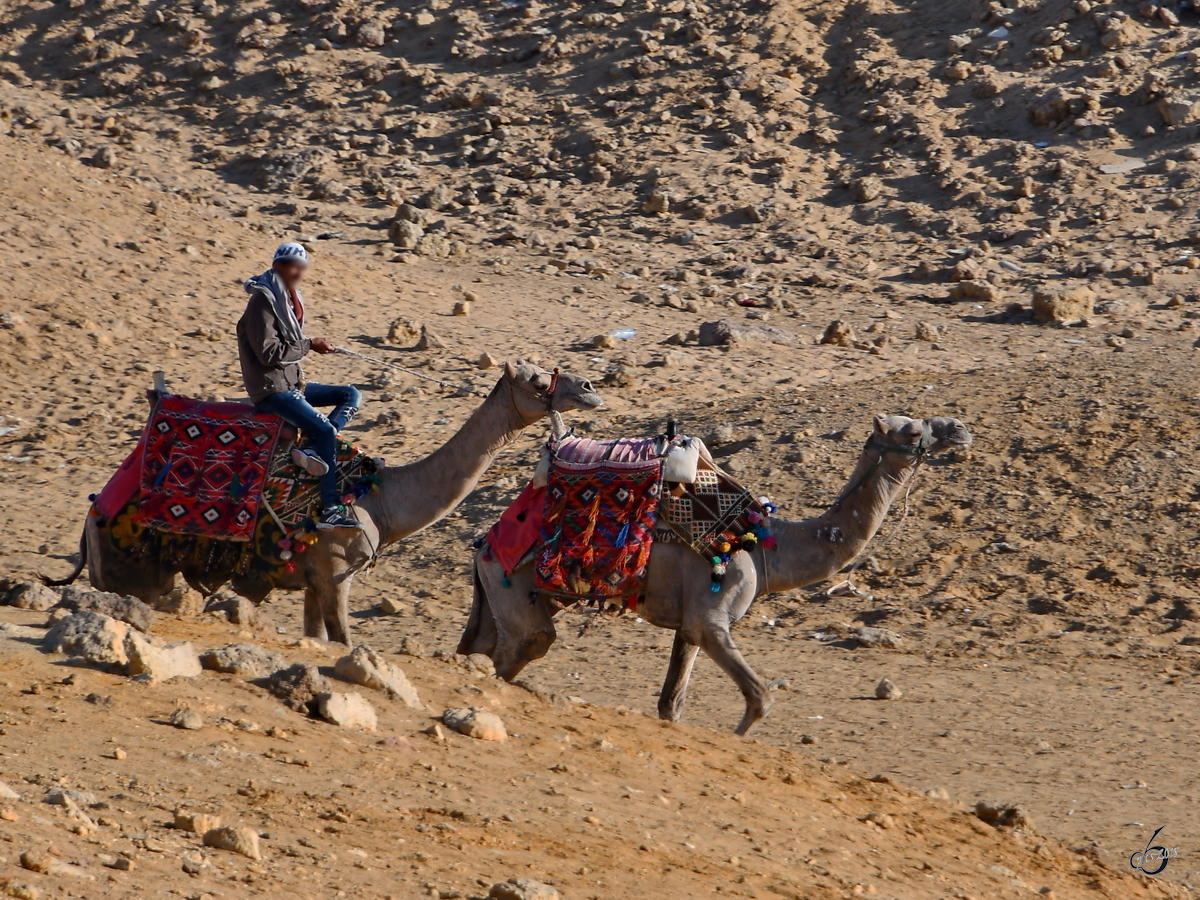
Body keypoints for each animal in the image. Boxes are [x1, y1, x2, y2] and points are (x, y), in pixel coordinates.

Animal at [54, 362, 600, 648]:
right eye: (537, 381)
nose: (590, 389)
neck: (380, 500)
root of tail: (91, 516)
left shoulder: (313, 580)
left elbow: (316, 635)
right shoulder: (337, 572)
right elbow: (342, 640)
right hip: (132, 566)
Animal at [458, 415, 974, 734]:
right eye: (913, 428)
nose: (960, 428)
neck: (765, 546)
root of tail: (484, 543)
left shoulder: (690, 624)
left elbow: (672, 704)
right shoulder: (713, 618)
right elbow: (761, 697)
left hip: (502, 596)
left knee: (484, 649)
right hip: (513, 587)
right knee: (520, 649)